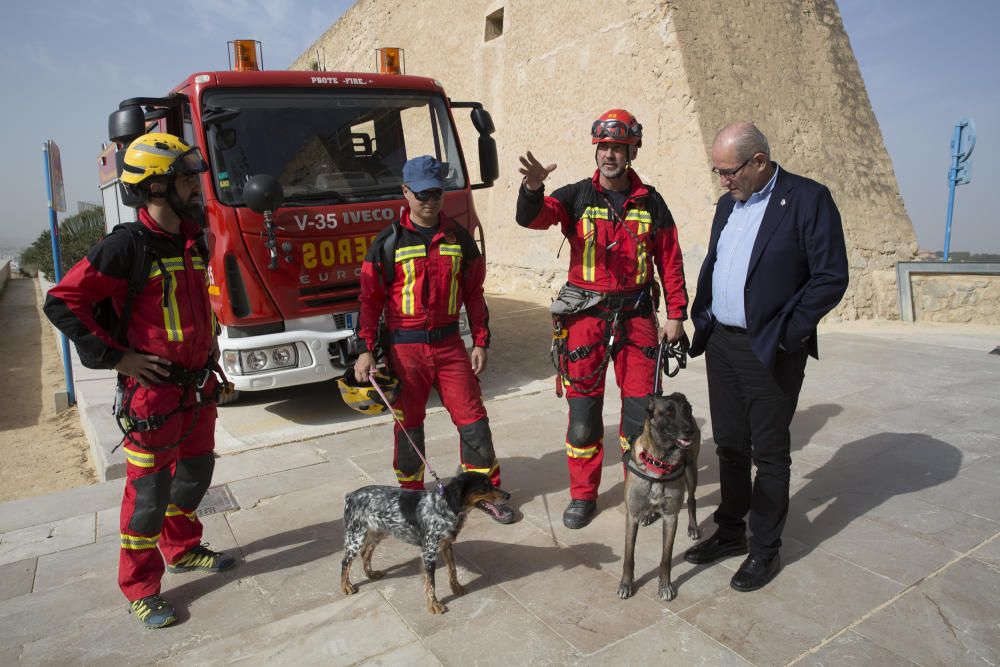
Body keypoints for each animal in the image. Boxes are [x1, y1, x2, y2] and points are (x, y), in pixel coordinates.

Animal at [344, 472, 516, 612]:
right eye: (484, 486)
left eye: (491, 483)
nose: (508, 495)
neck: (445, 506)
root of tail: (351, 495)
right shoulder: (429, 552)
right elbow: (431, 583)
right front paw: (434, 605)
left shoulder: (446, 545)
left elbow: (452, 570)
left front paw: (456, 588)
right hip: (355, 537)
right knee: (345, 563)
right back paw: (346, 586)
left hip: (378, 532)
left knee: (365, 552)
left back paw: (371, 573)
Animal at [616, 394, 704, 604]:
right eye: (669, 412)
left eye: (688, 410)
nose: (689, 430)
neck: (659, 462)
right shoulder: (631, 516)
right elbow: (628, 556)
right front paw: (626, 584)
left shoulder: (671, 518)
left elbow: (666, 558)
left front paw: (665, 586)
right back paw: (648, 515)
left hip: (691, 471)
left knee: (692, 500)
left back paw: (693, 527)